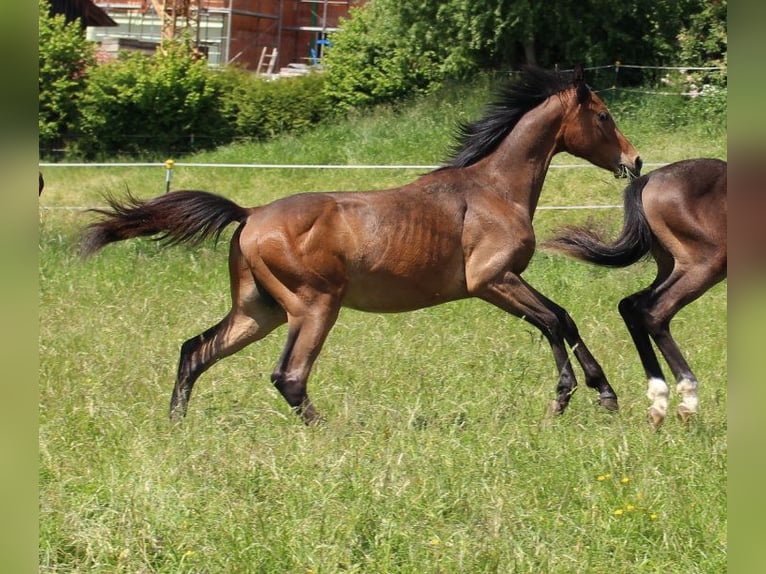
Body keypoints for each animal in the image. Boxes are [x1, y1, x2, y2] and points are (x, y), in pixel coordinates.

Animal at [81, 66, 641, 425]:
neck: (494, 188)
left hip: (259, 310)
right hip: (314, 306)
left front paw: (597, 395)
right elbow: (554, 321)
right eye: (604, 116)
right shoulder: (492, 280)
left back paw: (176, 426)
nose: (634, 161)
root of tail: (250, 215)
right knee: (288, 375)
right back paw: (331, 433)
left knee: (195, 351)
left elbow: (562, 319)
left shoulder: (507, 281)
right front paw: (572, 397)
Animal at [543, 158, 726, 428]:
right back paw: (687, 401)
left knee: (631, 306)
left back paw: (658, 402)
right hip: (705, 264)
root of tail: (647, 179)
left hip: (670, 265)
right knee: (655, 312)